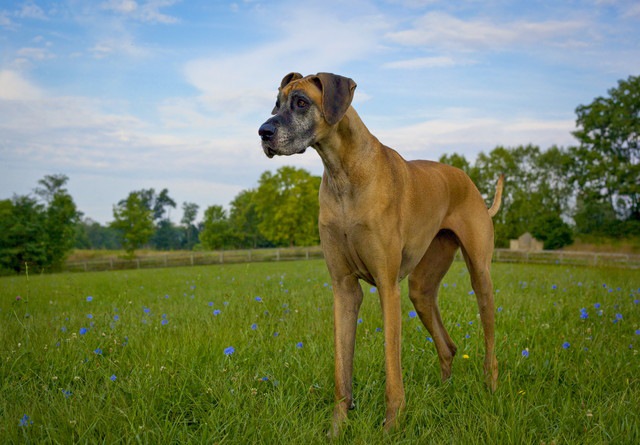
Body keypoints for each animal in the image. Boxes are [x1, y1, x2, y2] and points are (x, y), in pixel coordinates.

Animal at [258, 72, 502, 434]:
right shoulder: (344, 289)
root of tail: (467, 180)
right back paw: (445, 393)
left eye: (301, 102)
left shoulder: (388, 288)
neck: (343, 173)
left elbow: (392, 367)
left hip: (480, 277)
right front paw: (337, 428)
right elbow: (341, 370)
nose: (263, 132)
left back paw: (491, 389)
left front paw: (391, 425)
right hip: (421, 290)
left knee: (489, 345)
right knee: (447, 346)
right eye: (276, 104)